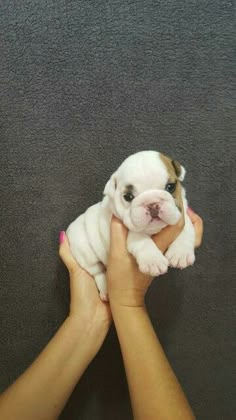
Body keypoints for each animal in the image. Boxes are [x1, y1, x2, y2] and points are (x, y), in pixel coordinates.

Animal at [66, 151, 195, 302]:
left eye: (170, 187)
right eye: (128, 196)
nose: (152, 204)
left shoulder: (183, 215)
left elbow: (186, 229)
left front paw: (181, 253)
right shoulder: (130, 231)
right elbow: (141, 240)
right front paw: (153, 260)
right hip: (85, 250)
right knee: (97, 271)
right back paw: (105, 289)